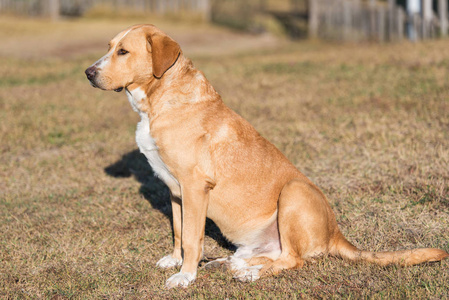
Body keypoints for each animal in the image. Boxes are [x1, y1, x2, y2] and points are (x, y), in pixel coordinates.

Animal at [86, 25, 446, 288]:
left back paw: (248, 273)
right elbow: (178, 230)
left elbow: (191, 236)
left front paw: (185, 276)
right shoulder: (175, 189)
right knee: (267, 256)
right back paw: (229, 263)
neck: (159, 100)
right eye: (109, 46)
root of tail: (336, 235)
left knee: (293, 260)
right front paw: (176, 261)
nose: (88, 73)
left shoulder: (194, 186)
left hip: (294, 192)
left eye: (123, 51)